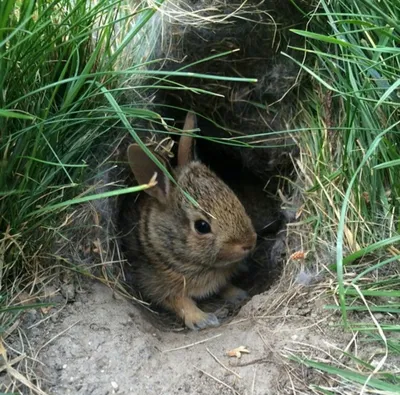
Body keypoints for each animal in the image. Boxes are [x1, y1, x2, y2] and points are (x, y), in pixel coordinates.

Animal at [119, 112, 256, 332]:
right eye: (202, 226)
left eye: (233, 196)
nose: (249, 243)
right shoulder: (156, 283)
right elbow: (180, 301)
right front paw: (202, 319)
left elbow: (223, 285)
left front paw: (238, 293)